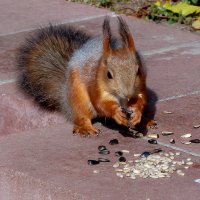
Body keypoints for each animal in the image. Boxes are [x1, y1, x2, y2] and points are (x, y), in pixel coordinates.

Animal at [16, 16, 150, 136]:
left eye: (138, 70)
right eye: (108, 74)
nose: (127, 94)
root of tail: (65, 98)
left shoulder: (140, 86)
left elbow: (141, 99)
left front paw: (137, 112)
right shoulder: (95, 86)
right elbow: (100, 103)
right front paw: (116, 112)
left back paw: (146, 122)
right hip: (77, 94)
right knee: (81, 114)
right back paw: (85, 127)